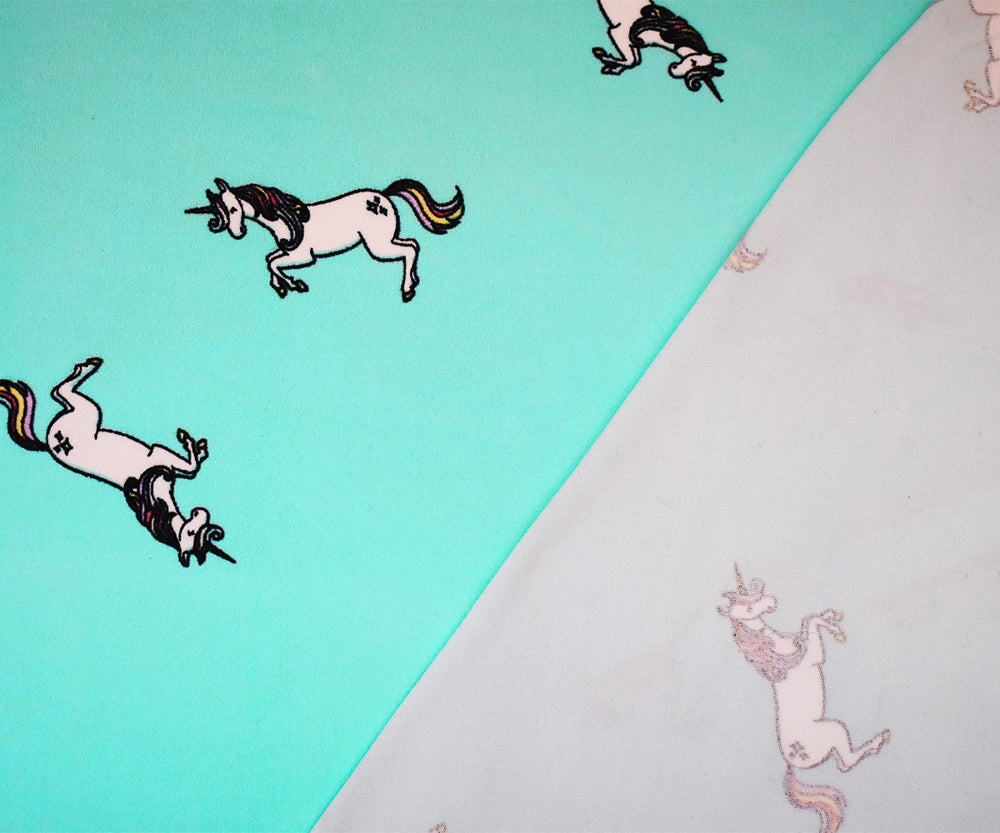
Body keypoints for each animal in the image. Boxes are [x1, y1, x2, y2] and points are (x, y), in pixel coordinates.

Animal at [0, 358, 232, 568]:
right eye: (191, 531)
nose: (200, 512)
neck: (157, 502)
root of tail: (48, 444)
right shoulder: (161, 457)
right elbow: (191, 466)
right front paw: (193, 446)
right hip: (88, 412)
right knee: (60, 391)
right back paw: (88, 366)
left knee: (60, 394)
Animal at [187, 178, 464, 302]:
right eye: (218, 212)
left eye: (234, 209)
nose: (238, 233)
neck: (285, 217)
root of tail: (383, 196)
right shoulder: (288, 252)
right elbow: (270, 259)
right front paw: (283, 286)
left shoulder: (302, 256)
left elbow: (272, 262)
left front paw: (294, 284)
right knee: (413, 246)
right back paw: (413, 280)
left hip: (378, 246)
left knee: (410, 249)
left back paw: (407, 290)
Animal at [592, 1, 726, 100]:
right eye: (693, 61)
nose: (674, 70)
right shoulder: (619, 32)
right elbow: (632, 60)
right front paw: (604, 57)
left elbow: (635, 59)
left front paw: (614, 67)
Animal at [719, 566, 890, 833]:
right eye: (747, 609)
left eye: (755, 596)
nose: (771, 601)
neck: (775, 652)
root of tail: (789, 760)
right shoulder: (812, 657)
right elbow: (811, 625)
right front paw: (832, 626)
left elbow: (808, 625)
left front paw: (829, 616)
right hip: (832, 730)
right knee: (845, 764)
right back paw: (877, 742)